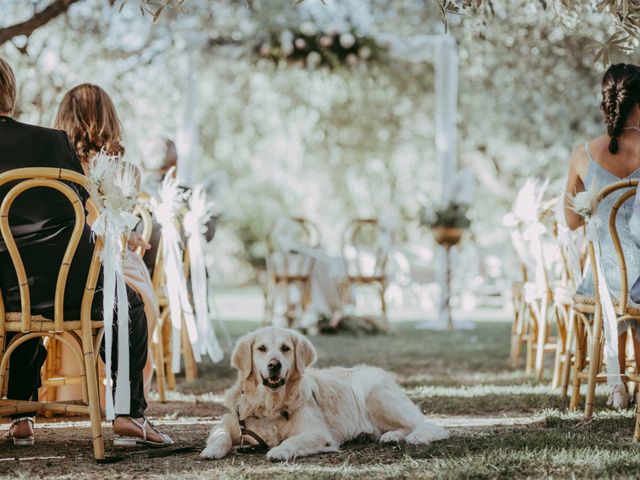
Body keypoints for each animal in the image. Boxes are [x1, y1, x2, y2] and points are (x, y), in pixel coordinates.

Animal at [201, 326, 450, 462]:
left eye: (285, 348)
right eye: (261, 349)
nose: (274, 365)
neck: (271, 403)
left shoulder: (318, 433)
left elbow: (293, 440)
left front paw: (280, 450)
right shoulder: (230, 423)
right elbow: (221, 435)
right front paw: (211, 450)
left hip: (374, 395)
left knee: (424, 425)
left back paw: (407, 435)